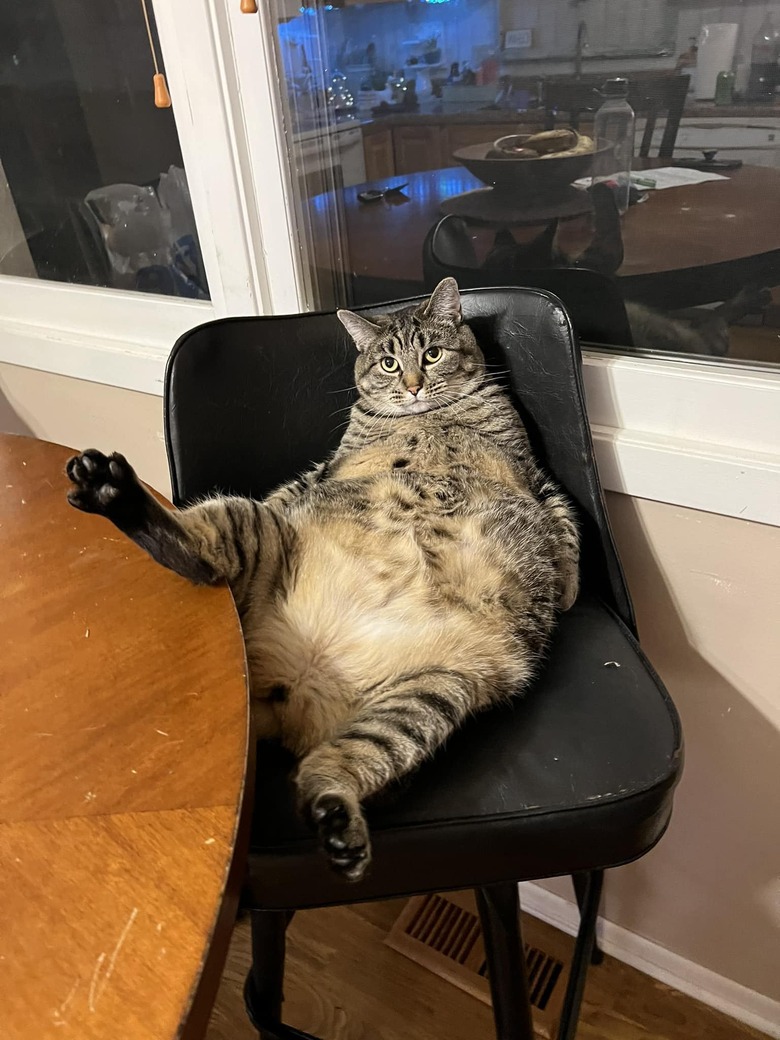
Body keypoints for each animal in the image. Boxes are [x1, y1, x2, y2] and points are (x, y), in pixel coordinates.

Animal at [65, 280, 582, 881]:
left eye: (431, 354)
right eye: (388, 361)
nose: (413, 385)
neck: (431, 417)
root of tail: (296, 684)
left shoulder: (537, 478)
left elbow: (567, 530)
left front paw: (566, 592)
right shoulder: (322, 471)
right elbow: (288, 488)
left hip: (427, 696)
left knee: (329, 769)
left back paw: (338, 824)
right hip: (253, 525)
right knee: (196, 549)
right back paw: (113, 492)